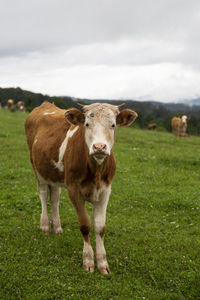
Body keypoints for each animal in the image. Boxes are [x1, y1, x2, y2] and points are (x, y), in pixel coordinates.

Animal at [24, 101, 138, 274]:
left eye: (113, 125)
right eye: (87, 124)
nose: (99, 147)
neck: (96, 171)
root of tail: (46, 104)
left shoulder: (106, 191)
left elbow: (100, 227)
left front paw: (103, 263)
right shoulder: (74, 189)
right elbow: (85, 225)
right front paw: (88, 260)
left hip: (55, 174)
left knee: (55, 197)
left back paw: (57, 227)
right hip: (38, 169)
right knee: (43, 194)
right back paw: (45, 226)